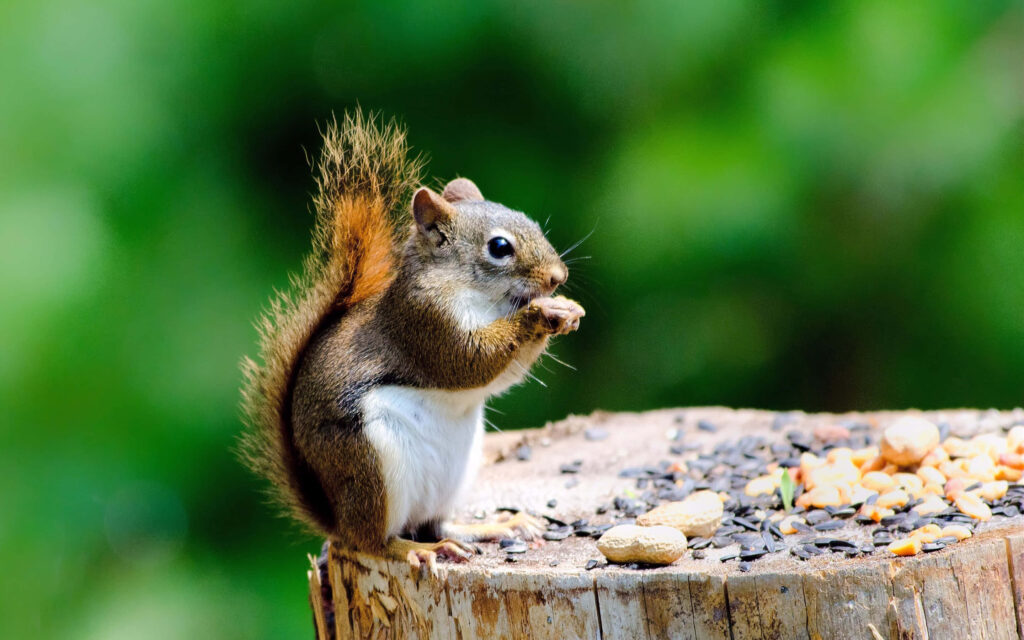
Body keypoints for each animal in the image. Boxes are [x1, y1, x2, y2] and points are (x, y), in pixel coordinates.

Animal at [239, 111, 585, 570]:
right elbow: (468, 362)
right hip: (370, 465)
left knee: (436, 522)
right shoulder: (424, 323)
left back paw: (492, 527)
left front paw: (566, 309)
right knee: (374, 541)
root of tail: (336, 517)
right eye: (499, 247)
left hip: (453, 474)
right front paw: (541, 314)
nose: (558, 277)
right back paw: (418, 550)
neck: (483, 298)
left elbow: (502, 374)